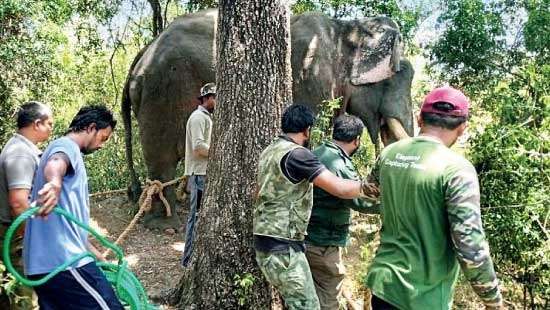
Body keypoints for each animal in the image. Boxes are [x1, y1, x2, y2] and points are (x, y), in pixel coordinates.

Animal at [121, 8, 414, 229]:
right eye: (393, 79)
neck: (345, 30)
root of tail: (143, 53)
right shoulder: (311, 76)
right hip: (162, 92)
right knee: (161, 158)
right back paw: (164, 224)